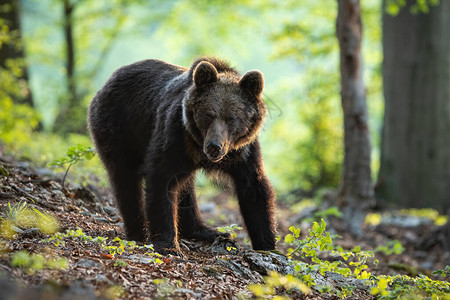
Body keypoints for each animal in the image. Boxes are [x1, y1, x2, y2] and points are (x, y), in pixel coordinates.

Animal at [87, 57, 276, 254]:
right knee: (125, 180)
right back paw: (137, 232)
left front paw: (267, 245)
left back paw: (206, 231)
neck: (197, 144)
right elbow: (161, 178)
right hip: (119, 127)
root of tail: (109, 80)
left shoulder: (243, 152)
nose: (214, 146)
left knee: (185, 186)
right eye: (208, 114)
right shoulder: (175, 135)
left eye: (232, 118)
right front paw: (168, 244)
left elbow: (254, 188)